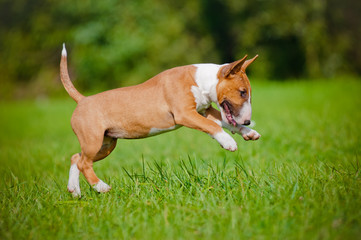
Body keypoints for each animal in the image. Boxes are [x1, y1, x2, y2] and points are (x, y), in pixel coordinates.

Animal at [60, 43, 260, 197]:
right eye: (242, 92)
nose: (248, 121)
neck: (201, 80)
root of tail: (83, 100)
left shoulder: (205, 111)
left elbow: (223, 122)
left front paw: (249, 133)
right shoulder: (185, 114)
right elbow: (211, 126)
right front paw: (228, 142)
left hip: (106, 144)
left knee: (76, 158)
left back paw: (74, 190)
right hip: (93, 141)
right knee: (84, 163)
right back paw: (100, 187)